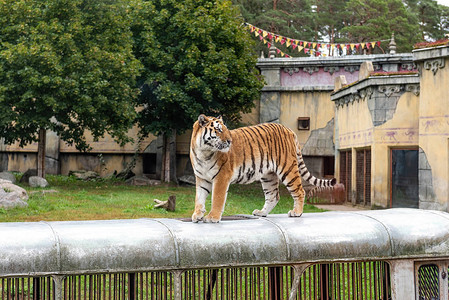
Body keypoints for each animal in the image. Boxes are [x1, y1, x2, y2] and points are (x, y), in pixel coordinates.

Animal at [187, 115, 334, 223]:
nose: (229, 141)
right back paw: (262, 213)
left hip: (288, 169)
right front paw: (197, 215)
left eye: (226, 130)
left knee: (300, 191)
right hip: (268, 175)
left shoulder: (221, 177)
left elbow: (217, 199)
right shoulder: (201, 178)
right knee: (273, 196)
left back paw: (296, 213)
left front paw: (212, 217)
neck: (203, 153)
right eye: (218, 130)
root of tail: (289, 130)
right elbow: (199, 198)